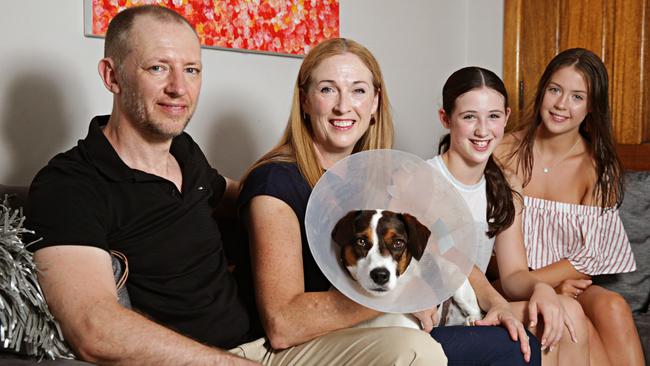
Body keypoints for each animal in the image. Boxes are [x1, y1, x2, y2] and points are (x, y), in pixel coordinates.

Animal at [330, 209, 480, 328]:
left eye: (398, 243)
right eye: (361, 241)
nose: (380, 275)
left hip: (458, 288)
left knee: (477, 311)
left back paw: (472, 320)